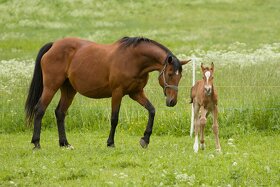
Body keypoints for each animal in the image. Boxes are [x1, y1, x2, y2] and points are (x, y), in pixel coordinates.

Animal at [25, 37, 189, 150]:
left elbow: (152, 110)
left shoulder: (136, 93)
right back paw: (36, 143)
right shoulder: (117, 92)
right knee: (39, 110)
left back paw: (64, 143)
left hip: (69, 90)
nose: (172, 101)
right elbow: (114, 118)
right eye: (169, 74)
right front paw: (110, 143)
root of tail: (54, 45)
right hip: (51, 87)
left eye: (180, 76)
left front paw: (145, 139)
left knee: (60, 112)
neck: (133, 59)